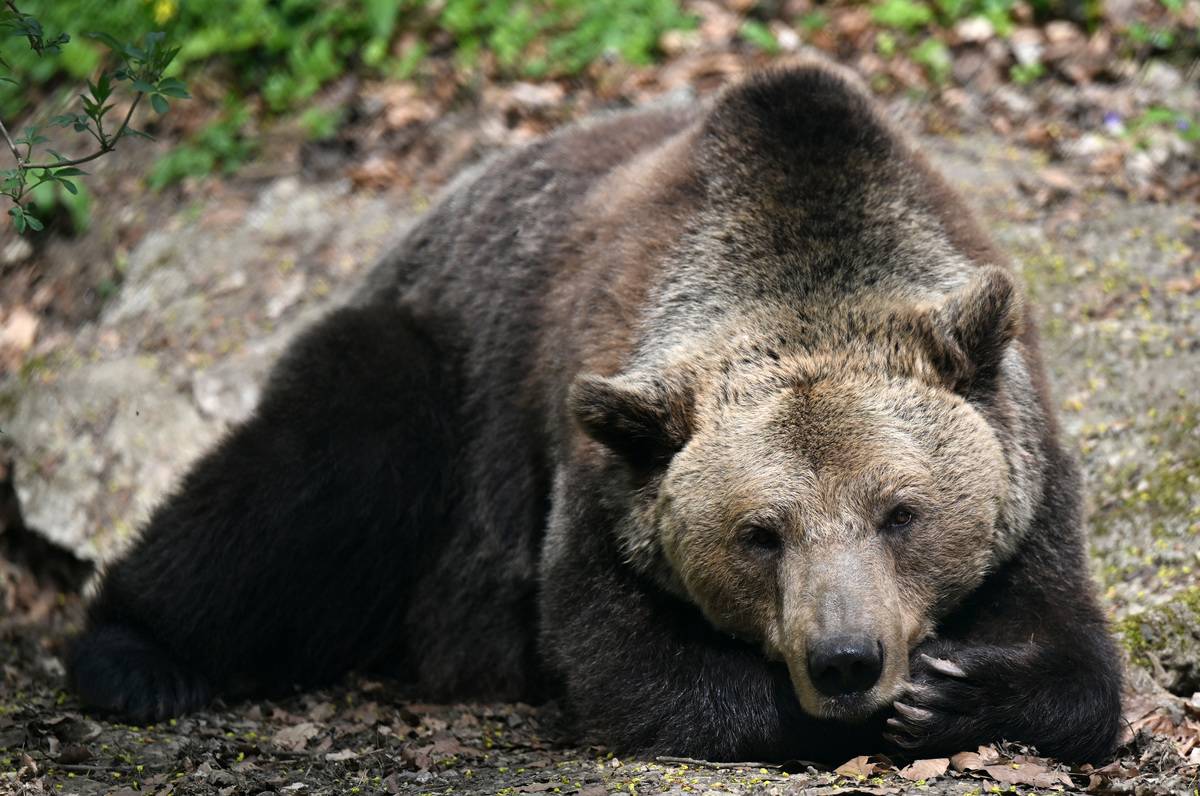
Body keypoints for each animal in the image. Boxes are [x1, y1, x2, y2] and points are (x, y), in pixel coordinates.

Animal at [66, 62, 1123, 764]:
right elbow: (623, 661)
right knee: (320, 471)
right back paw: (134, 657)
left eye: (902, 512)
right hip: (436, 372)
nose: (846, 660)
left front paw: (957, 690)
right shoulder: (595, 464)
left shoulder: (1026, 463)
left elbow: (1077, 656)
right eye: (759, 533)